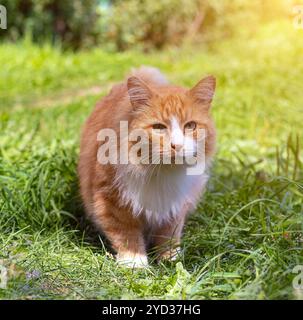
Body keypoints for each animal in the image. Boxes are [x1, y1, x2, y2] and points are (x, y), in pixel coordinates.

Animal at [78, 67, 216, 268]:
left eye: (190, 126)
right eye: (159, 127)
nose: (177, 145)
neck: (162, 172)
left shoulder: (176, 203)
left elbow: (169, 233)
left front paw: (169, 258)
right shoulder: (111, 198)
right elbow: (126, 234)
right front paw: (135, 262)